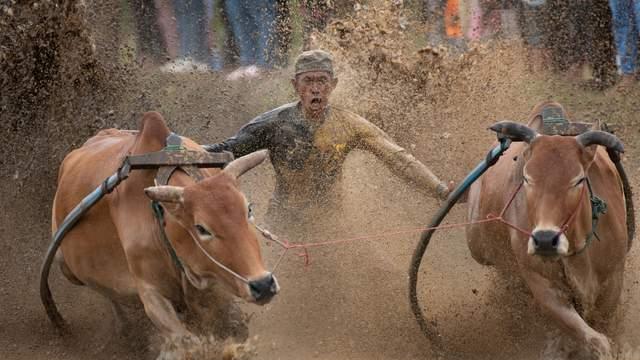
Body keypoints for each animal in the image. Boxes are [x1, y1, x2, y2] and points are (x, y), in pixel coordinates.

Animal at [50, 112, 278, 338]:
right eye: (201, 228)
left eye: (249, 210)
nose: (263, 285)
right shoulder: (151, 295)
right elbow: (186, 339)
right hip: (66, 268)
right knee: (111, 299)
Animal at [468, 101, 628, 358]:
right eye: (527, 179)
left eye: (578, 180)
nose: (544, 240)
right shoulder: (542, 285)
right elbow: (596, 340)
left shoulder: (613, 279)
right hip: (477, 245)